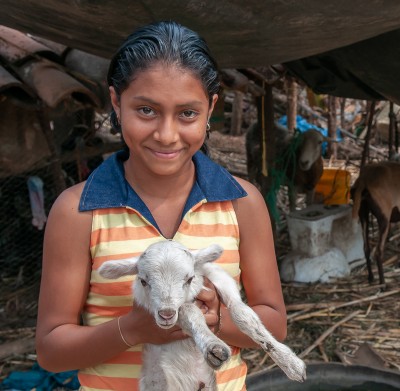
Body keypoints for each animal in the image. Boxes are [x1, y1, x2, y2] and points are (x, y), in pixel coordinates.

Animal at [97, 240, 306, 390]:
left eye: (189, 279)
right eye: (143, 281)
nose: (166, 314)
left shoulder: (218, 279)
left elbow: (243, 315)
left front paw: (291, 364)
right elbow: (189, 312)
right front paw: (214, 347)